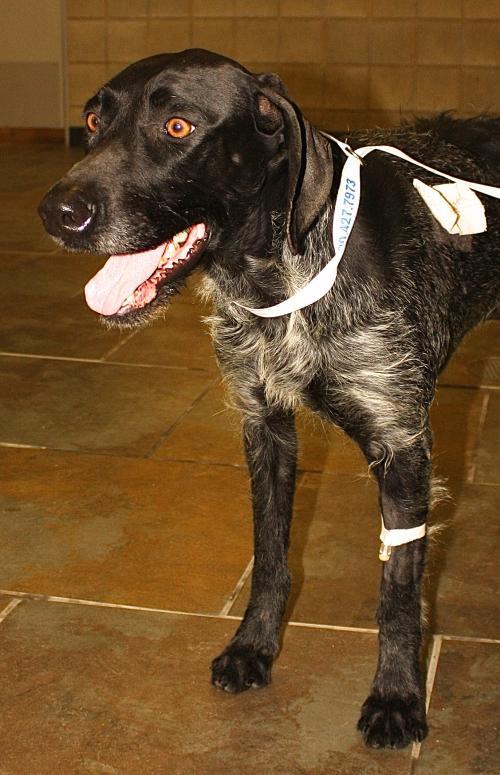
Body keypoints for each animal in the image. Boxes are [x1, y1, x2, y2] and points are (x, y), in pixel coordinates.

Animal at [38, 49, 500, 750]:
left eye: (177, 126)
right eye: (93, 120)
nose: (57, 212)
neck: (282, 275)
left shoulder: (401, 447)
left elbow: (398, 588)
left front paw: (396, 697)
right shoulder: (265, 427)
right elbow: (270, 554)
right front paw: (253, 648)